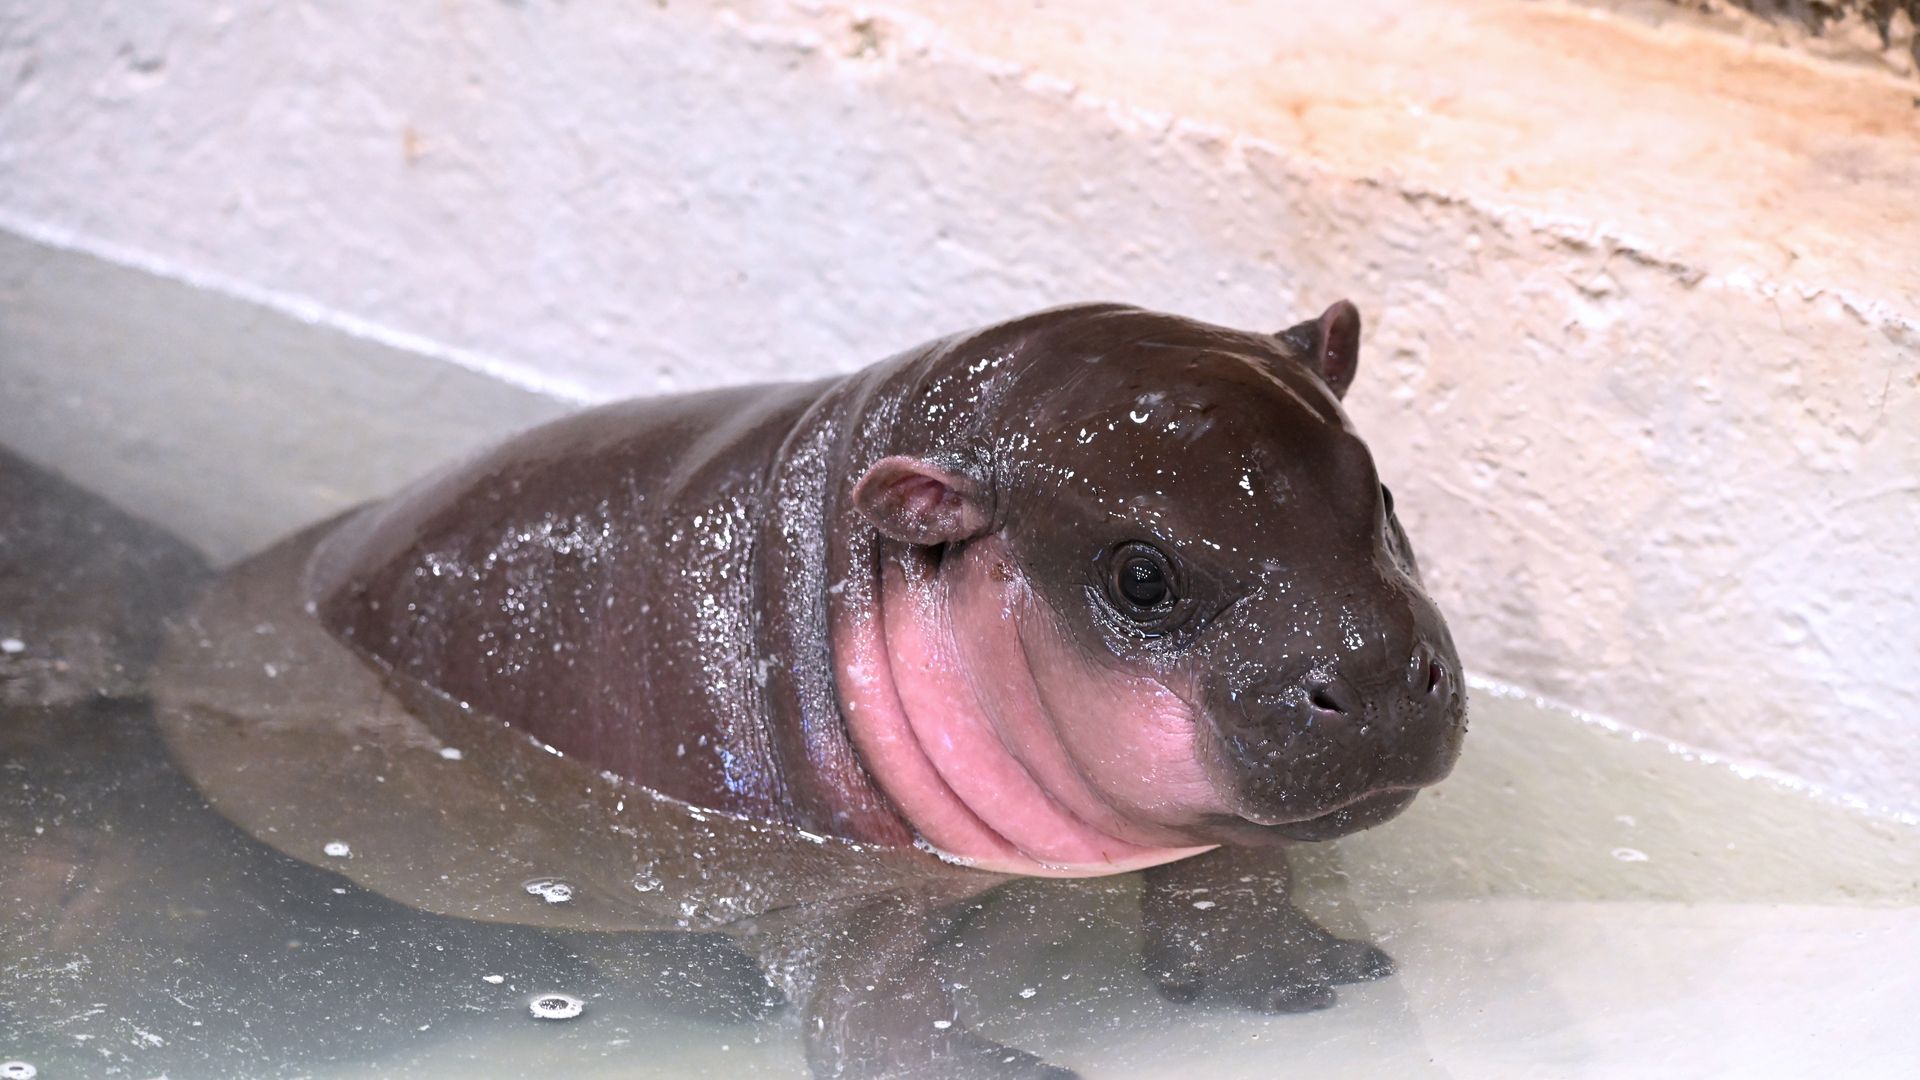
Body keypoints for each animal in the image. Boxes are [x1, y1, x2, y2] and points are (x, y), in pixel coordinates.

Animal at [152, 300, 1466, 1078]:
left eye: (1383, 493)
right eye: (1141, 575)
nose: (1377, 675)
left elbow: (1238, 862)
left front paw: (1303, 977)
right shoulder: (836, 891)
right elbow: (877, 1017)